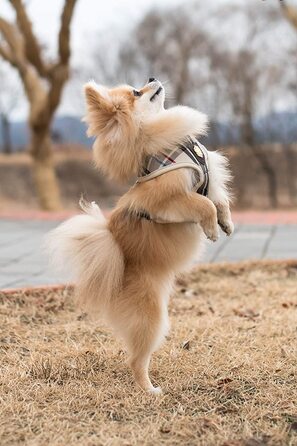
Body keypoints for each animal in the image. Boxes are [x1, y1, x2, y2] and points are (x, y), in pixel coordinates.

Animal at [46, 78, 234, 392]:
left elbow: (218, 200)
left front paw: (226, 223)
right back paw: (150, 390)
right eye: (137, 92)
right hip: (152, 318)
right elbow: (203, 204)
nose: (151, 78)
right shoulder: (166, 199)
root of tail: (116, 255)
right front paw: (210, 229)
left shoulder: (209, 175)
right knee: (136, 360)